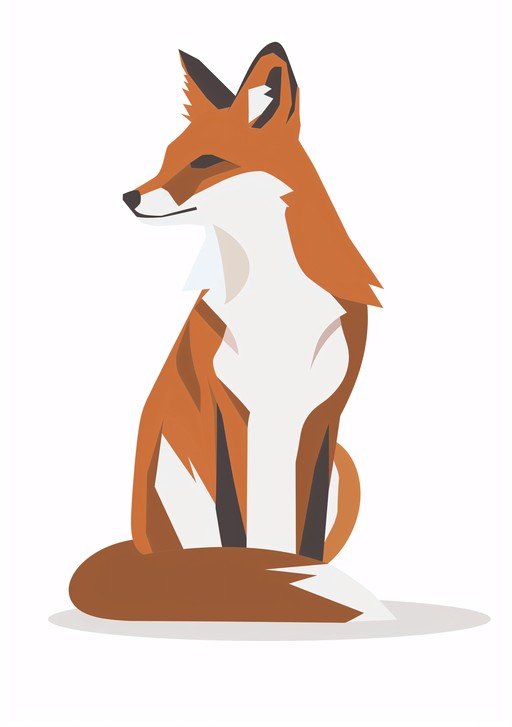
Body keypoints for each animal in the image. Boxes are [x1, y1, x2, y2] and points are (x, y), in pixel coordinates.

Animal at [69, 43, 387, 623]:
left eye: (204, 160)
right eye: (168, 156)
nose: (129, 196)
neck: (276, 305)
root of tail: (139, 545)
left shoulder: (325, 414)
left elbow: (304, 535)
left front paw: (292, 583)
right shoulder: (227, 407)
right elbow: (239, 535)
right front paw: (246, 591)